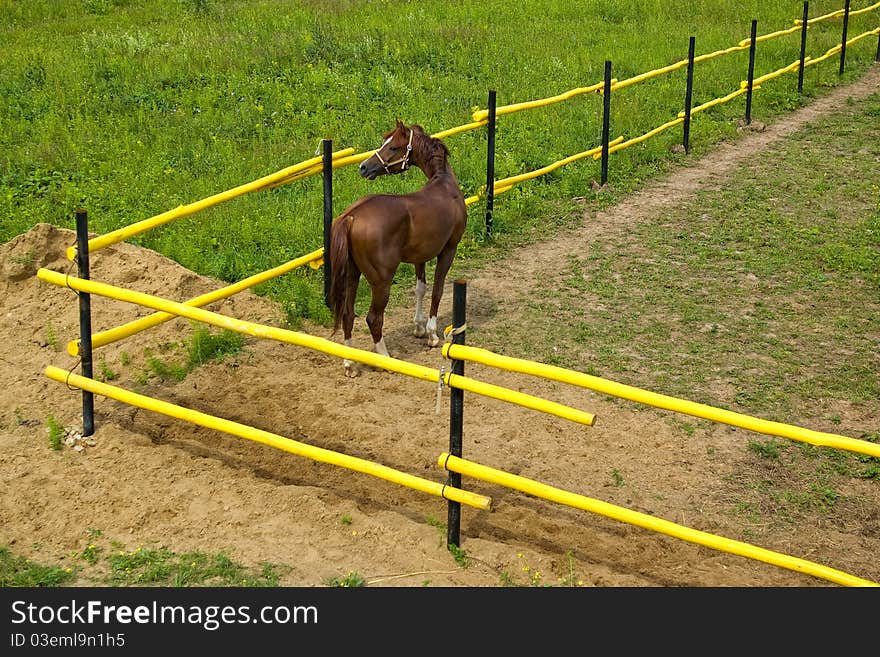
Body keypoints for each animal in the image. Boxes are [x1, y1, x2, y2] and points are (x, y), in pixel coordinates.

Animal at [328, 118, 468, 374]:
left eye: (393, 146)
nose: (364, 167)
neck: (444, 185)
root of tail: (352, 216)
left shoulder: (420, 257)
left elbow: (421, 288)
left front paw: (419, 328)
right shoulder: (448, 250)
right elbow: (437, 290)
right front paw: (432, 334)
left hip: (352, 274)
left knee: (348, 314)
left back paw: (350, 362)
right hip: (381, 281)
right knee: (373, 318)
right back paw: (385, 358)